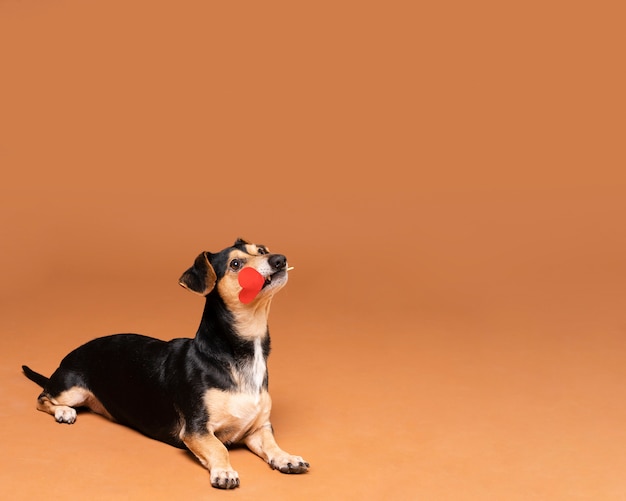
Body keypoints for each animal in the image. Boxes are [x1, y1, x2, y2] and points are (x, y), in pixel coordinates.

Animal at [21, 238, 308, 488]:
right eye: (236, 264)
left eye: (262, 250)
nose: (279, 259)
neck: (241, 354)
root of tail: (67, 358)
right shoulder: (196, 429)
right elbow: (219, 448)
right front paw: (224, 471)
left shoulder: (259, 428)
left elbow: (271, 445)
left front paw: (286, 457)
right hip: (72, 389)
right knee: (42, 398)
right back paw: (63, 412)